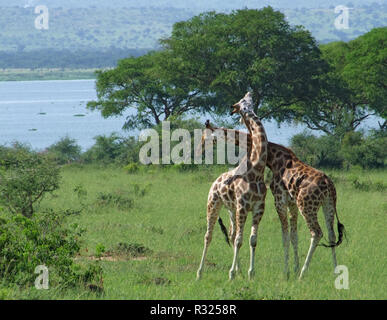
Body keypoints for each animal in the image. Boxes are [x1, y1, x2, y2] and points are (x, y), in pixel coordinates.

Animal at [197, 92, 270, 280]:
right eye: (242, 105)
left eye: (251, 103)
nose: (251, 113)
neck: (257, 171)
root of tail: (215, 181)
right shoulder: (243, 206)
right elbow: (239, 240)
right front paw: (230, 274)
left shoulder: (258, 208)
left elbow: (252, 240)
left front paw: (251, 273)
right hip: (213, 204)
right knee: (208, 235)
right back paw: (199, 273)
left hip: (231, 209)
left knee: (231, 233)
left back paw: (239, 271)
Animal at [202, 121, 348, 278]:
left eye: (206, 135)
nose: (201, 148)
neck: (273, 158)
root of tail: (328, 184)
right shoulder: (291, 203)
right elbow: (293, 236)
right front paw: (293, 269)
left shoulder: (279, 201)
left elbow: (285, 237)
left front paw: (287, 272)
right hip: (329, 205)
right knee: (331, 235)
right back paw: (335, 271)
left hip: (307, 206)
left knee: (317, 233)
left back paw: (303, 274)